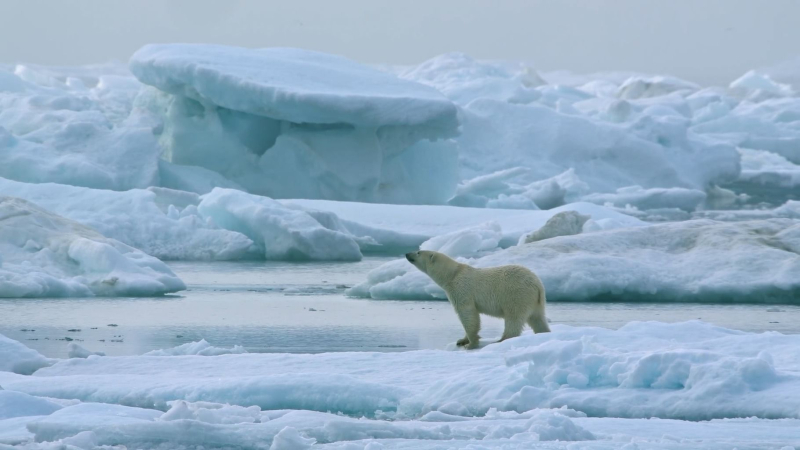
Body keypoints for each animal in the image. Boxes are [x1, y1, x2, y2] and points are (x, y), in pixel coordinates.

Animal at [406, 251, 552, 350]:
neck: (453, 274)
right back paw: (543, 333)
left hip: (516, 294)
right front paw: (461, 340)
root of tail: (537, 284)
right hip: (535, 301)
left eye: (418, 252)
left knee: (513, 318)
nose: (407, 253)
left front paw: (470, 344)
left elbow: (468, 314)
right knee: (537, 318)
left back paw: (502, 340)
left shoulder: (461, 290)